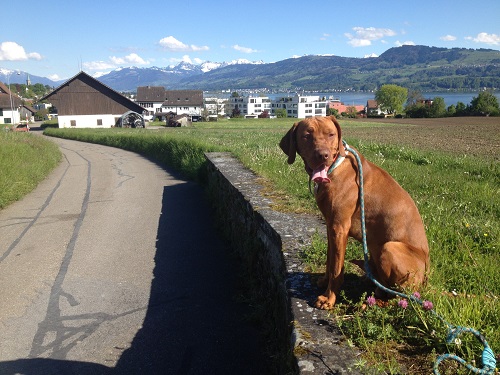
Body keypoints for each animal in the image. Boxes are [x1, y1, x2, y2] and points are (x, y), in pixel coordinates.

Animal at [280, 116, 428, 310]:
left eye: (331, 134)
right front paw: (324, 281)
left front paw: (329, 299)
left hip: (390, 248)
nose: (323, 155)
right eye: (306, 135)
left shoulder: (339, 227)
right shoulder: (331, 225)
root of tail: (426, 278)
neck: (334, 168)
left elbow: (336, 268)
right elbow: (330, 260)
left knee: (400, 297)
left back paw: (372, 303)